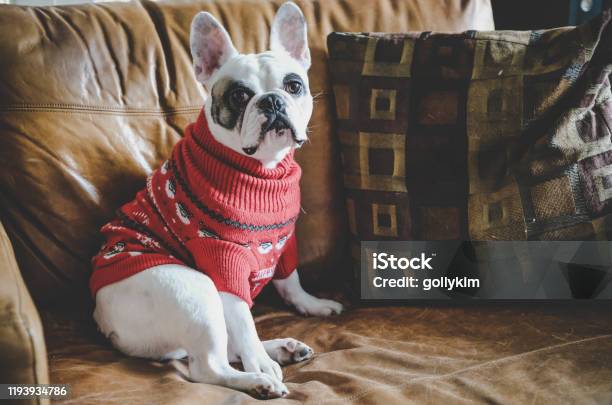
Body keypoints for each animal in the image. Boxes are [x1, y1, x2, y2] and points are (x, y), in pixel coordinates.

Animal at [94, 2, 346, 398]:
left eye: (294, 86)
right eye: (240, 96)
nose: (272, 100)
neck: (261, 170)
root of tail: (103, 320)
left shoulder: (285, 239)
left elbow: (289, 280)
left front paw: (312, 304)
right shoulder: (224, 261)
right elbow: (244, 321)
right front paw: (260, 364)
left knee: (226, 347)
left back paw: (282, 348)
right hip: (198, 293)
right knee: (208, 365)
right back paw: (258, 376)